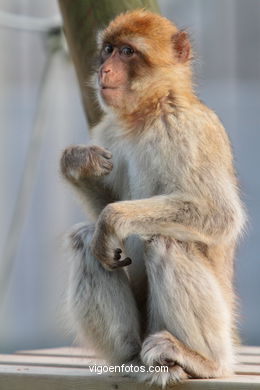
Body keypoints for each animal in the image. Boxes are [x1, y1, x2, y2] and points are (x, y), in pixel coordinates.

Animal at [60, 9, 246, 386]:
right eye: (108, 49)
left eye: (127, 52)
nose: (104, 70)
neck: (146, 113)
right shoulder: (107, 131)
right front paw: (78, 164)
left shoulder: (186, 127)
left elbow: (220, 214)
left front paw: (113, 218)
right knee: (85, 239)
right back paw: (130, 355)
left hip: (215, 327)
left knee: (165, 240)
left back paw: (205, 362)